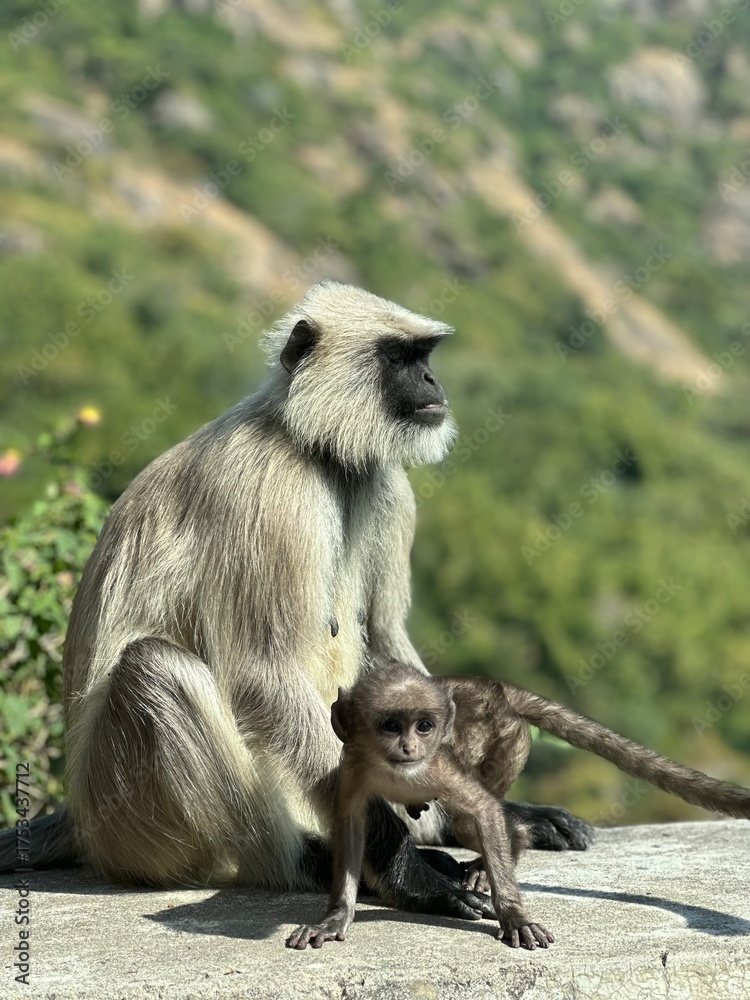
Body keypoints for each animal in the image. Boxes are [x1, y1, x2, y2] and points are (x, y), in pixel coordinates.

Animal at [0, 282, 592, 917]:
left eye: (425, 357)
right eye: (400, 358)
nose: (433, 382)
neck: (312, 448)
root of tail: (79, 819)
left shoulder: (386, 484)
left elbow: (383, 639)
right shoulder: (268, 489)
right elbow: (261, 672)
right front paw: (409, 874)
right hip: (128, 824)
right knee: (156, 669)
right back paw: (315, 863)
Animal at [286, 661, 750, 951]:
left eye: (424, 726)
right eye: (390, 725)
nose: (408, 747)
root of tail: (495, 688)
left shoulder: (436, 765)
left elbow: (484, 811)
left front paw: (514, 916)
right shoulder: (352, 768)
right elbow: (351, 826)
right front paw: (336, 917)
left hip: (507, 741)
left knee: (476, 820)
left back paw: (510, 845)